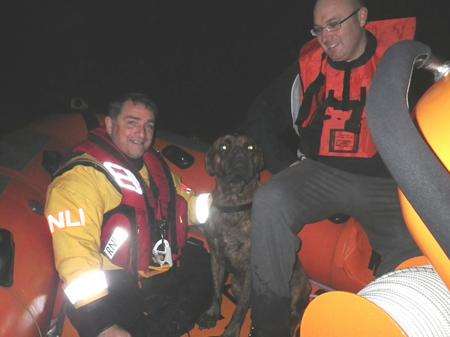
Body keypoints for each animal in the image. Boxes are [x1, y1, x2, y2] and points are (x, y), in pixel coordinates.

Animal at [199, 134, 312, 336]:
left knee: (294, 316)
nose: (239, 153)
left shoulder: (250, 271)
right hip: (236, 284)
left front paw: (232, 330)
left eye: (250, 147)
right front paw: (212, 313)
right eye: (224, 147)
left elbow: (240, 308)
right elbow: (216, 289)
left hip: (298, 288)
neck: (234, 203)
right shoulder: (216, 258)